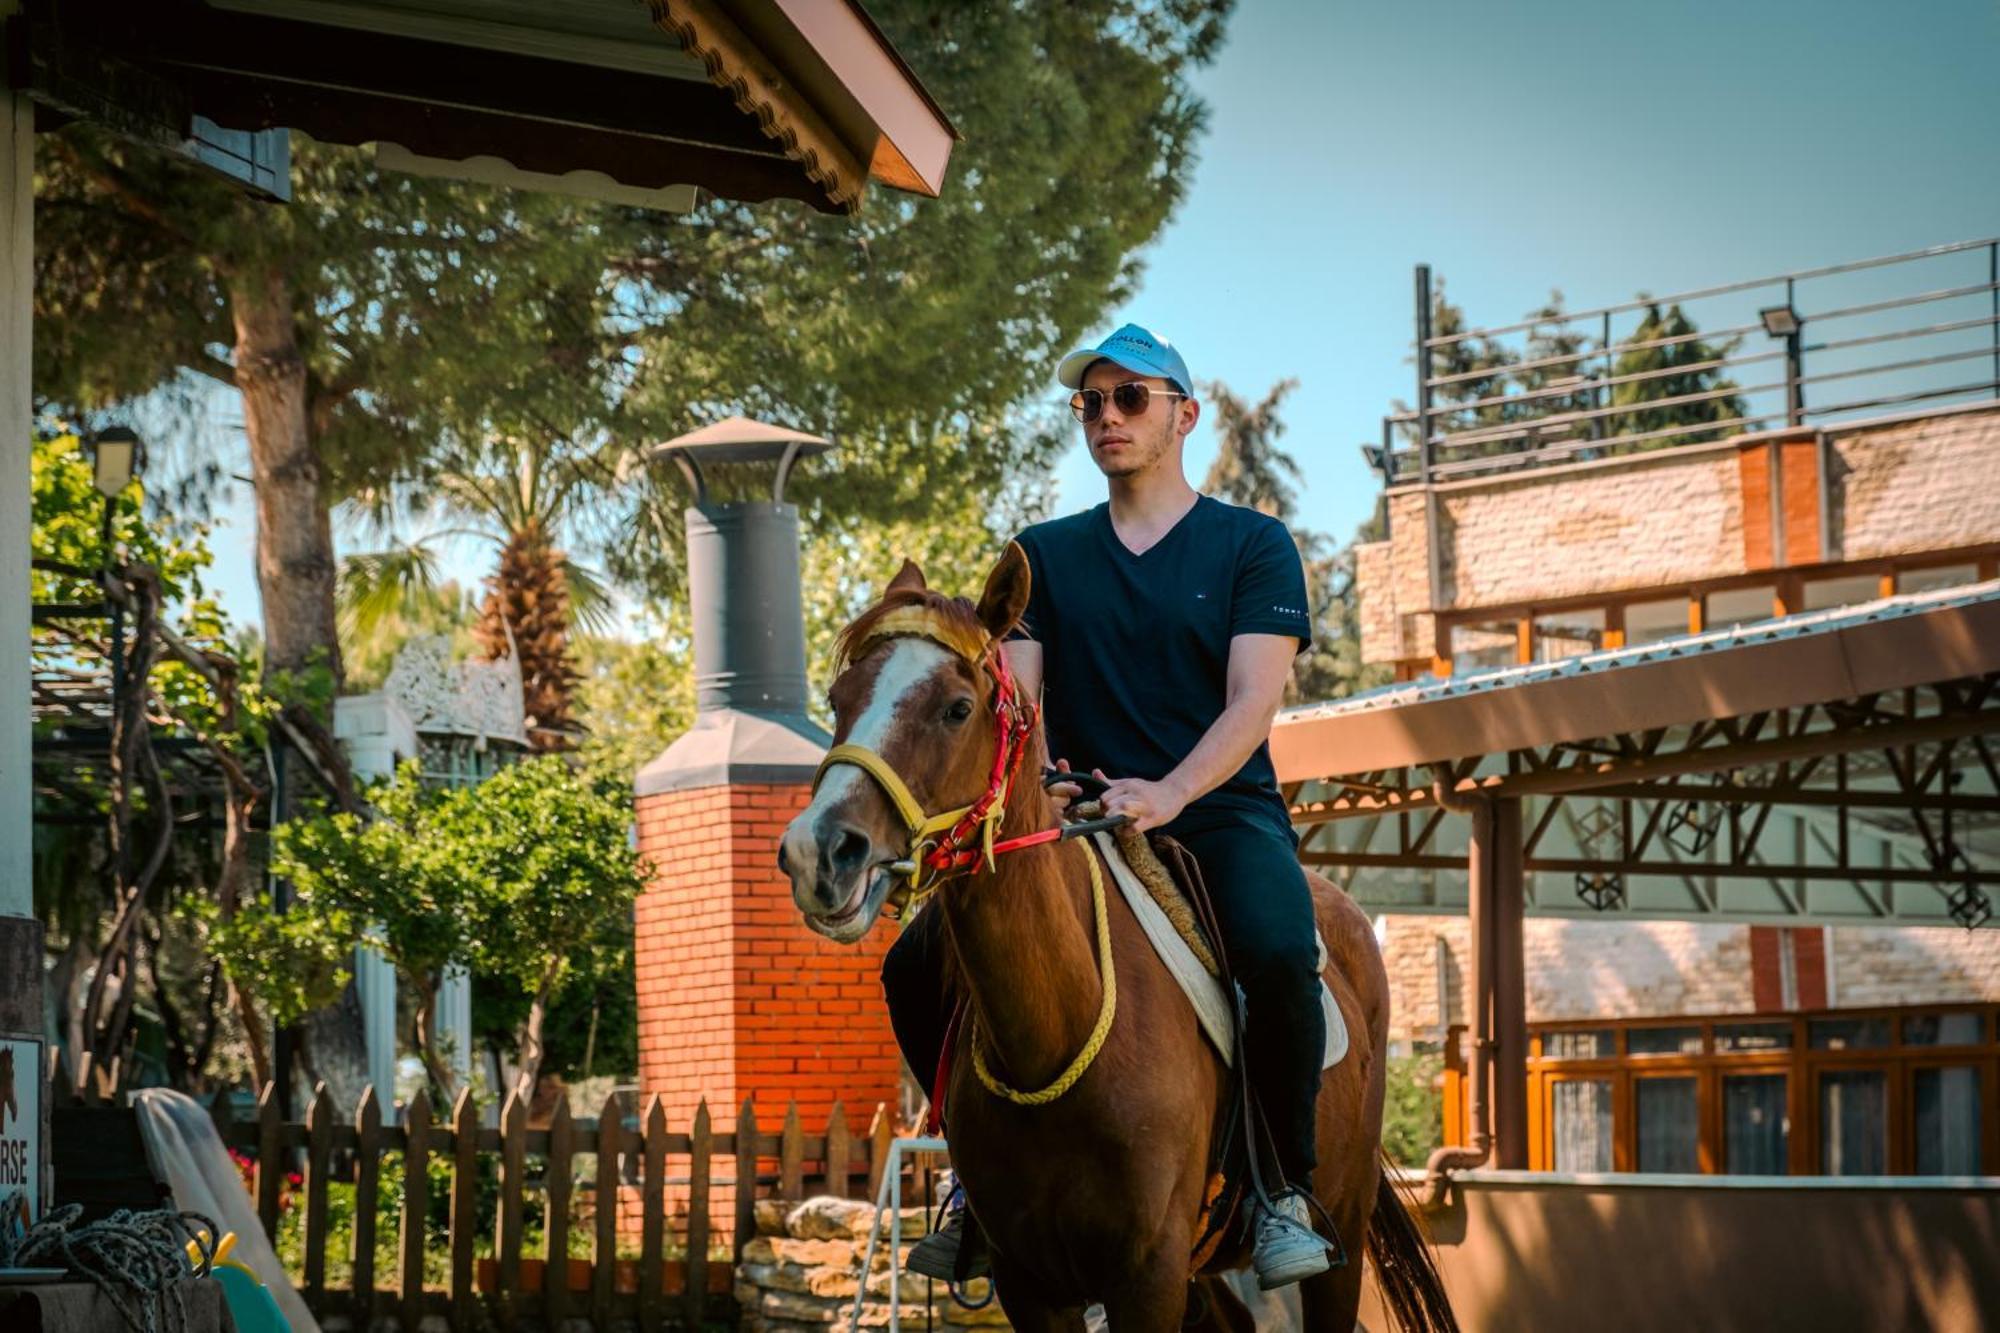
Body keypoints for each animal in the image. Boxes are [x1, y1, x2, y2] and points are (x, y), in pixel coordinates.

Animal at [780, 544, 1456, 1328]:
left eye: (956, 708)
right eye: (839, 701)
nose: (820, 852)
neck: (1056, 1034)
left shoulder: (1148, 1273)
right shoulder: (1029, 1282)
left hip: (1334, 1237)